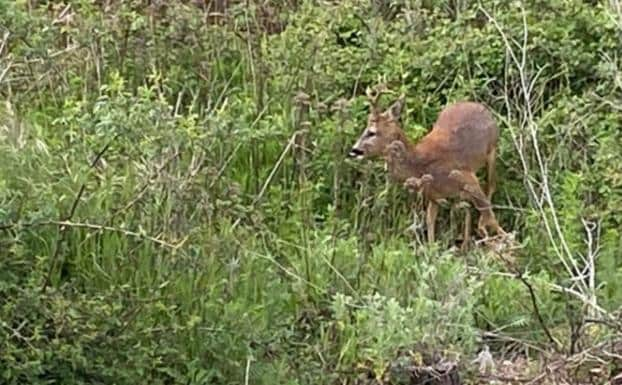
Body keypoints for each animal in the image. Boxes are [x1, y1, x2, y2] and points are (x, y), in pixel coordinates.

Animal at [348, 85, 510, 244]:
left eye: (371, 132)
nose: (354, 150)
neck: (420, 165)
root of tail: (481, 106)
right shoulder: (433, 196)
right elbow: (430, 222)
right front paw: (432, 249)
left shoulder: (468, 178)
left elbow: (489, 214)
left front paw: (505, 238)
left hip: (492, 150)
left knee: (491, 186)